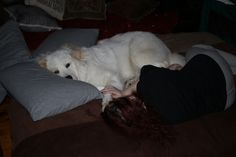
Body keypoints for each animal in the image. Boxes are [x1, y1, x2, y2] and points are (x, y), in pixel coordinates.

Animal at [37, 31, 185, 110]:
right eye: (56, 72)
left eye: (68, 65)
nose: (68, 78)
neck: (83, 69)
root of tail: (168, 50)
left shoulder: (111, 76)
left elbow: (109, 87)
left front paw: (106, 101)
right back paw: (131, 81)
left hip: (137, 53)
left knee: (160, 65)